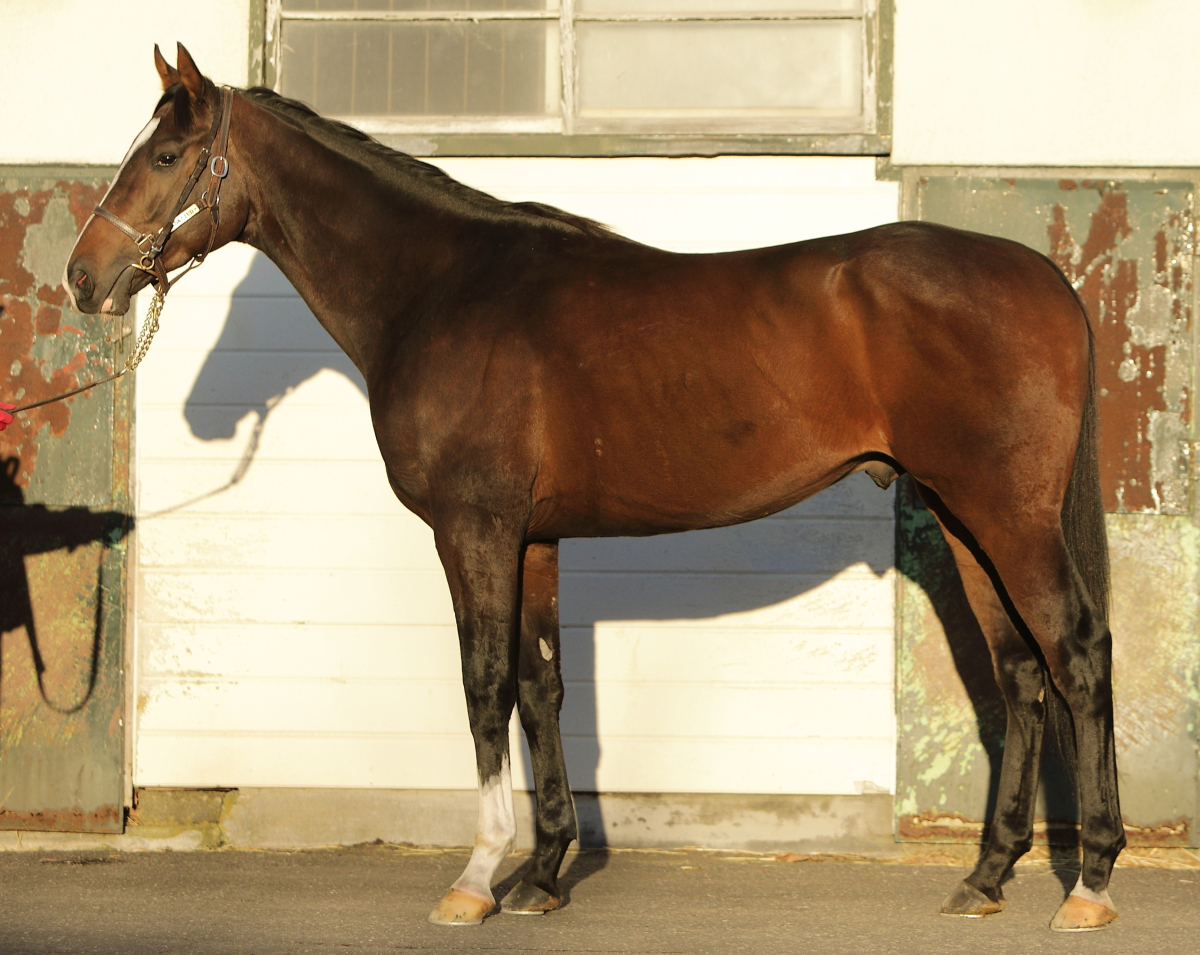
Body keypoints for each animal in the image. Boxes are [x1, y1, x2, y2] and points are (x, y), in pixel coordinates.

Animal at [63, 44, 1122, 933]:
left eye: (166, 155)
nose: (83, 277)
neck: (442, 289)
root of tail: (1046, 278)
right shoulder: (534, 537)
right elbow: (542, 687)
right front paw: (542, 873)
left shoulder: (474, 529)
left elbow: (485, 686)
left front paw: (476, 877)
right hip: (961, 516)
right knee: (1020, 672)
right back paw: (987, 875)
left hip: (1006, 515)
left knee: (1074, 651)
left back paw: (1091, 882)